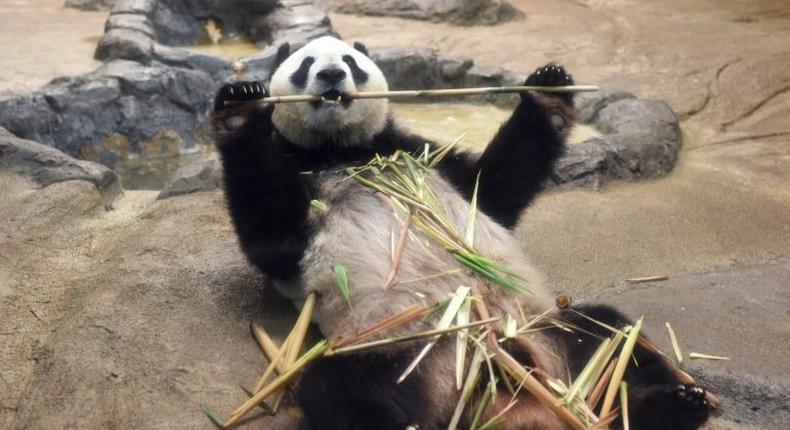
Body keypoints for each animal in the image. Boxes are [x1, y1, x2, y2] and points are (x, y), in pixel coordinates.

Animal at [210, 37, 712, 430]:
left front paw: (548, 91)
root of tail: (491, 378)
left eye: (351, 61)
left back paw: (674, 405)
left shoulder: (418, 152)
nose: (332, 74)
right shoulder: (299, 182)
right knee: (343, 389)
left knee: (612, 337)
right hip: (400, 346)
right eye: (305, 65)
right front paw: (239, 109)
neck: (343, 149)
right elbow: (271, 238)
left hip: (544, 328)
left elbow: (492, 189)